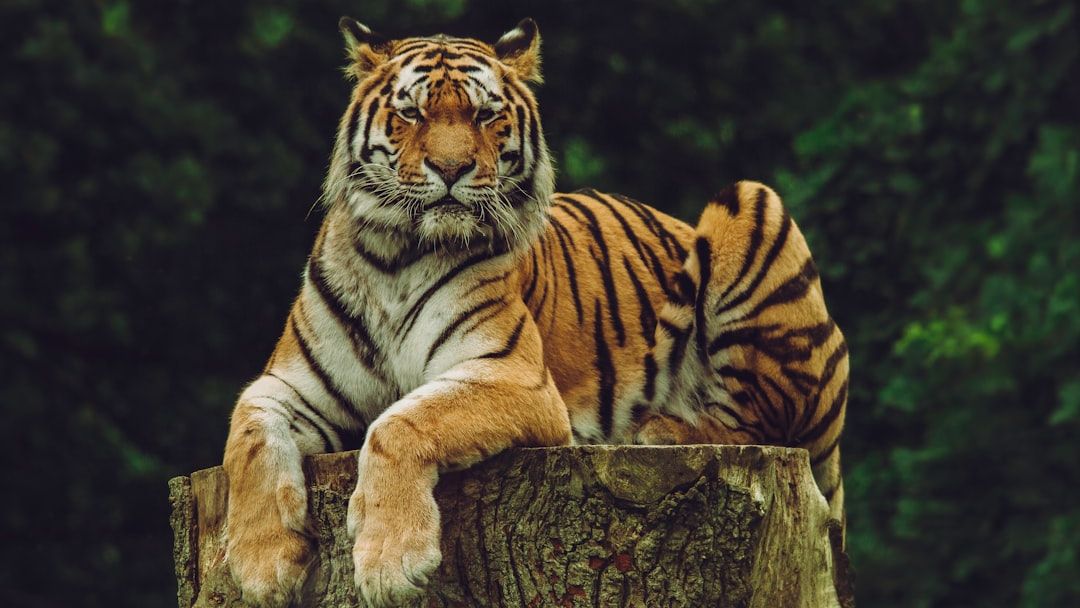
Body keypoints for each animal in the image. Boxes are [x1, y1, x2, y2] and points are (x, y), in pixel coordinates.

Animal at [221, 16, 849, 608]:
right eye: (411, 113)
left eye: (484, 115)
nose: (451, 169)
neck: (395, 258)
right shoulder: (290, 384)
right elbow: (246, 439)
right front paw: (261, 566)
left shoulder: (513, 375)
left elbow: (398, 422)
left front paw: (391, 564)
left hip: (751, 203)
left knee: (761, 420)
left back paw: (661, 429)